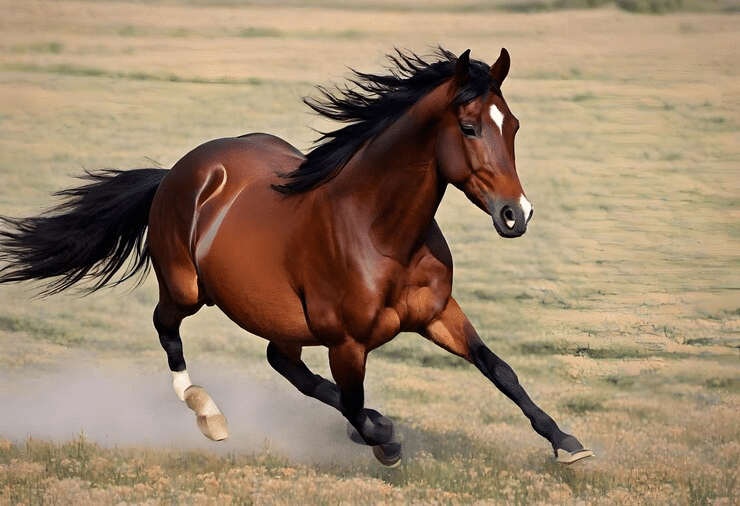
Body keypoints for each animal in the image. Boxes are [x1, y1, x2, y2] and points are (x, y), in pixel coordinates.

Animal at [0, 47, 592, 466]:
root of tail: (177, 172)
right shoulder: (347, 343)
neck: (380, 233)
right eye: (469, 127)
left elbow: (500, 369)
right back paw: (210, 415)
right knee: (167, 328)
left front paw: (568, 443)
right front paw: (384, 438)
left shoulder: (439, 314)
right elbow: (355, 403)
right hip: (188, 290)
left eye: (512, 125)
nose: (517, 214)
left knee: (282, 364)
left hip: (279, 319)